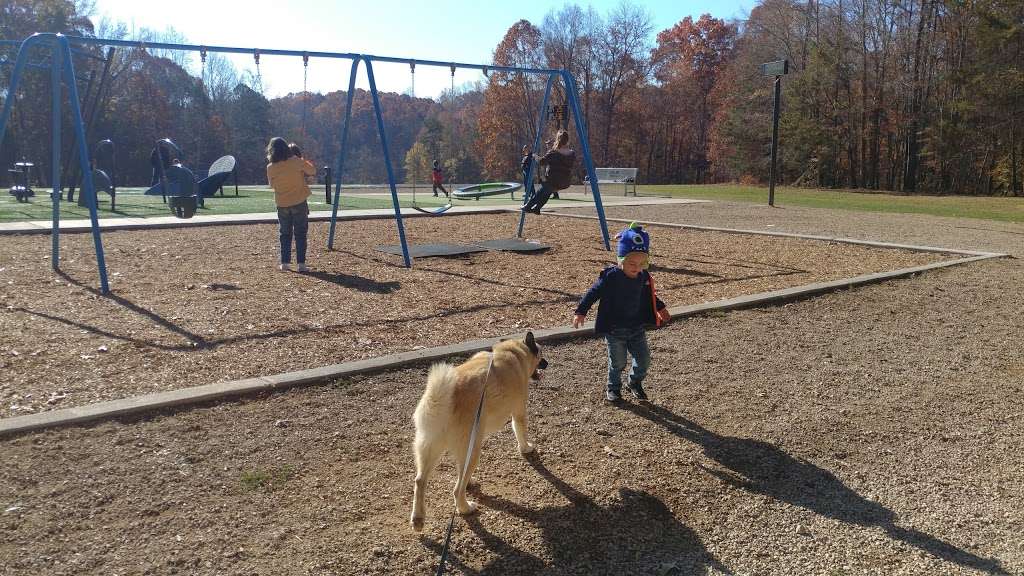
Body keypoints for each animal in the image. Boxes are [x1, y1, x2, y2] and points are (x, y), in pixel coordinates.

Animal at [409, 330, 548, 532]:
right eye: (540, 352)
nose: (547, 362)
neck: (516, 352)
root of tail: (440, 400)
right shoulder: (519, 411)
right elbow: (520, 431)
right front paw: (526, 449)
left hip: (431, 448)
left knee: (421, 481)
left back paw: (418, 519)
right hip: (473, 448)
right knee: (457, 489)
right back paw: (466, 508)